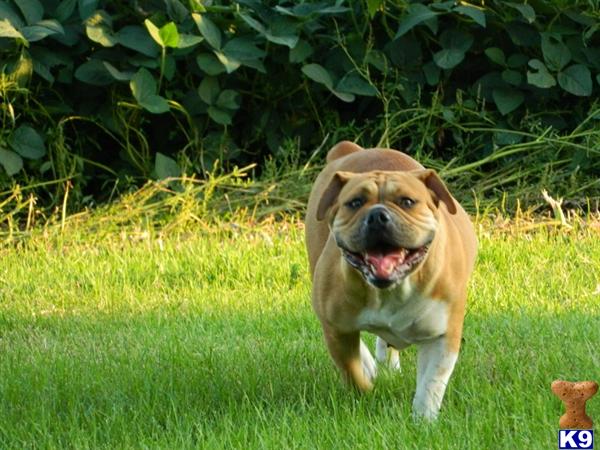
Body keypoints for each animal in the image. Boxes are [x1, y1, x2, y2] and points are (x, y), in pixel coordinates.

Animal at [304, 140, 478, 418]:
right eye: (355, 202)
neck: (391, 289)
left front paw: (423, 419)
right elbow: (352, 370)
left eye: (407, 201)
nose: (377, 215)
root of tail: (349, 149)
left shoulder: (443, 336)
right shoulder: (336, 328)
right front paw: (365, 390)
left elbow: (431, 383)